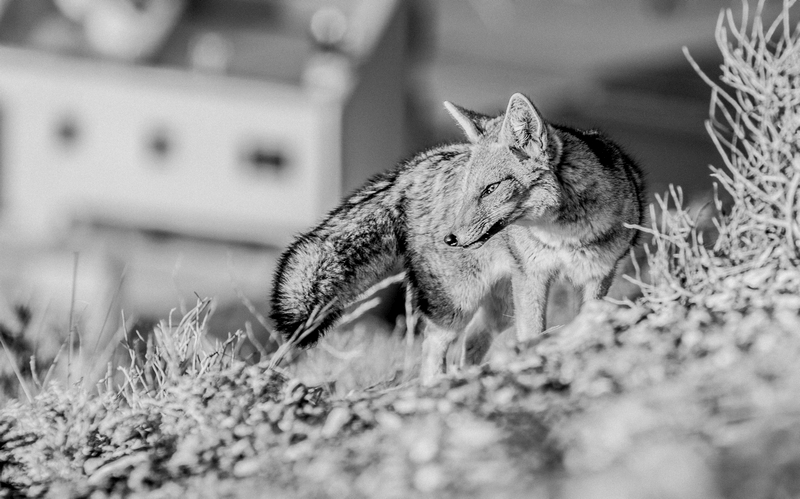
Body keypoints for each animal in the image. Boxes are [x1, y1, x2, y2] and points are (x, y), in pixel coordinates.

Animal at [272, 93, 648, 382]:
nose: (450, 239)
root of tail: (414, 167)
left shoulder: (597, 276)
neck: (563, 236)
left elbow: (583, 318)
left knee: (471, 343)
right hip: (457, 304)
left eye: (491, 189)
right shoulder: (533, 277)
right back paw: (435, 386)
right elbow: (533, 332)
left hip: (498, 304)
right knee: (433, 348)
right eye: (470, 191)